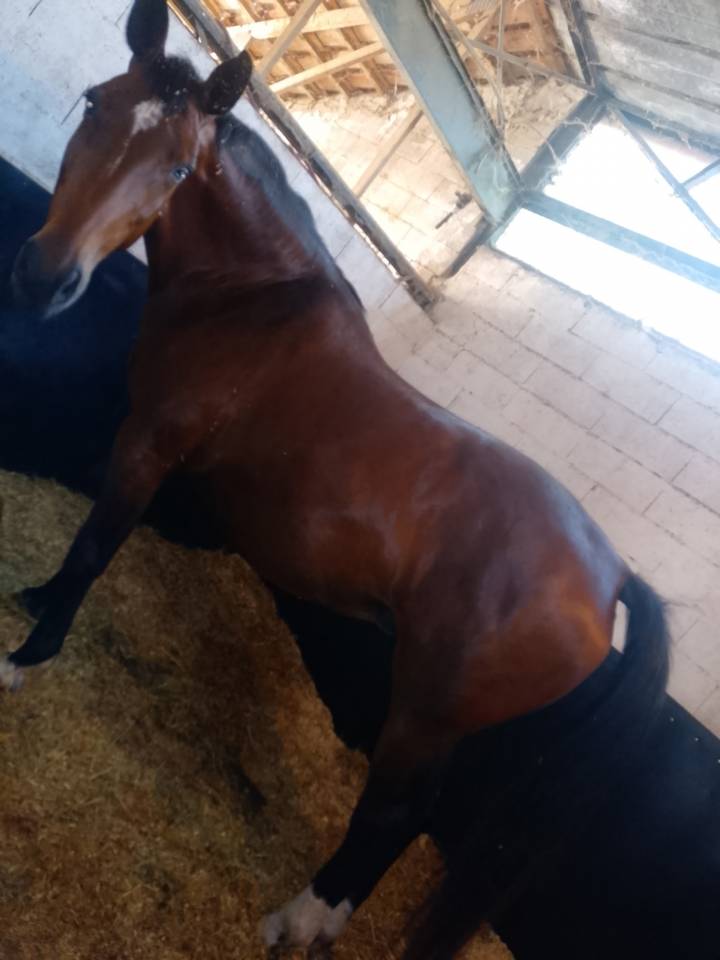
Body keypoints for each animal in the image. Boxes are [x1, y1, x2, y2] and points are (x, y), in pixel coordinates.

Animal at [4, 0, 670, 953]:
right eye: (96, 103)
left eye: (178, 166)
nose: (44, 277)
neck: (251, 298)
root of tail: (611, 575)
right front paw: (33, 603)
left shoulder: (149, 444)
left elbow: (98, 543)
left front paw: (27, 657)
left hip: (424, 711)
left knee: (394, 813)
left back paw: (298, 918)